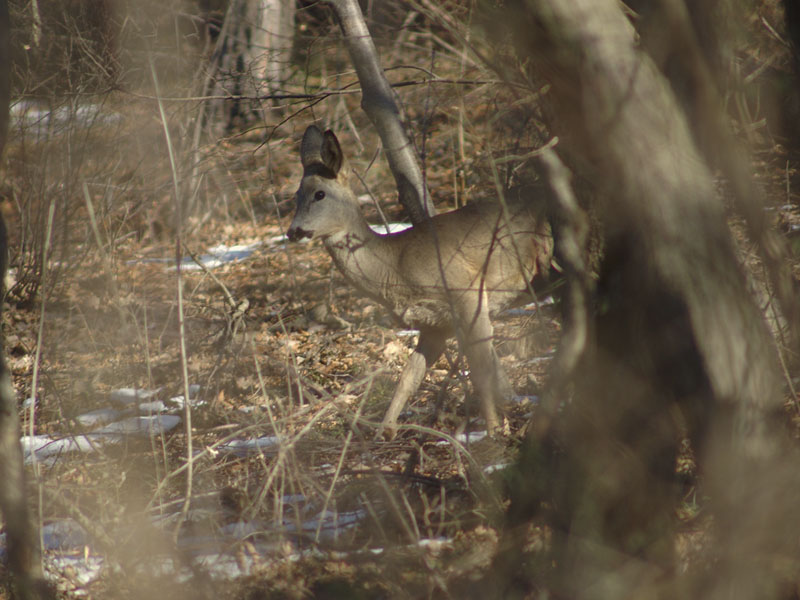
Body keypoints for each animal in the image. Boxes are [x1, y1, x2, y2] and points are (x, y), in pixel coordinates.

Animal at [288, 126, 556, 438]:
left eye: (320, 194)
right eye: (296, 195)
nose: (292, 231)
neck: (395, 268)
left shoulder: (468, 291)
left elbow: (481, 369)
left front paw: (493, 430)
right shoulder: (434, 324)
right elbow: (409, 376)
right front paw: (385, 429)